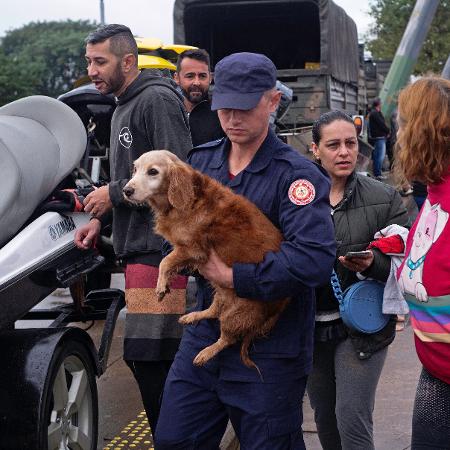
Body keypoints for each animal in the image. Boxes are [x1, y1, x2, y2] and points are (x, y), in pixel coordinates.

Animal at [123, 150, 288, 370]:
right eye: (135, 169)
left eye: (153, 172)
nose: (126, 190)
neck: (187, 199)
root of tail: (281, 305)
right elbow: (169, 262)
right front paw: (165, 283)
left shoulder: (193, 250)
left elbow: (165, 262)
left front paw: (160, 286)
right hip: (221, 292)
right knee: (213, 311)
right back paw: (194, 315)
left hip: (235, 313)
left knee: (227, 338)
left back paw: (206, 352)